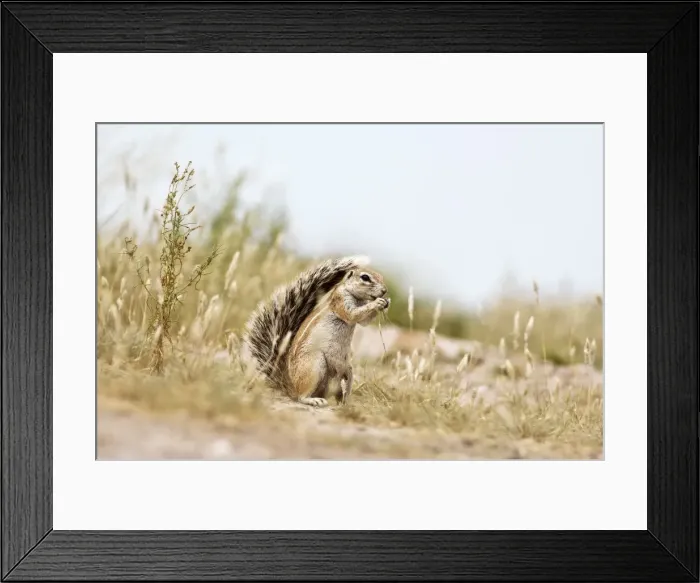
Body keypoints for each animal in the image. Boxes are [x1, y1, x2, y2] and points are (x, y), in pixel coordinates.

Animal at [241, 256, 390, 407]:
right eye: (365, 277)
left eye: (381, 277)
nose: (384, 291)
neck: (357, 297)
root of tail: (291, 387)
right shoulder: (341, 301)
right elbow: (352, 315)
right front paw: (377, 303)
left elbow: (363, 321)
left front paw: (386, 302)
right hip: (315, 364)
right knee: (302, 396)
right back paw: (313, 400)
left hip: (348, 371)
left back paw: (345, 403)